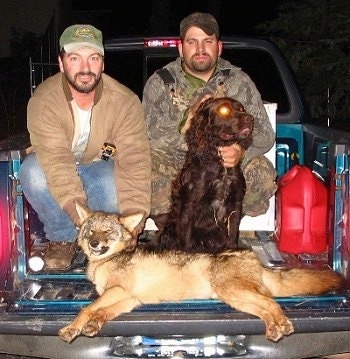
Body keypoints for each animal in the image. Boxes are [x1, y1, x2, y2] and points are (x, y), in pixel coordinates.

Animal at [58, 208, 344, 346]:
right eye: (90, 231)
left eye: (107, 232)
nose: (94, 243)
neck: (105, 262)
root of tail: (252, 257)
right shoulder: (129, 299)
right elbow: (101, 313)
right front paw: (92, 326)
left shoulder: (119, 292)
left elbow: (86, 309)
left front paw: (73, 328)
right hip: (235, 298)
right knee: (267, 308)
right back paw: (274, 329)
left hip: (232, 292)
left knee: (273, 304)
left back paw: (282, 325)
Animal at [159, 96, 254, 253]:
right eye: (224, 110)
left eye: (241, 108)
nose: (250, 118)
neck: (219, 163)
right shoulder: (189, 206)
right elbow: (186, 241)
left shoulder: (236, 203)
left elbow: (233, 233)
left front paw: (233, 251)